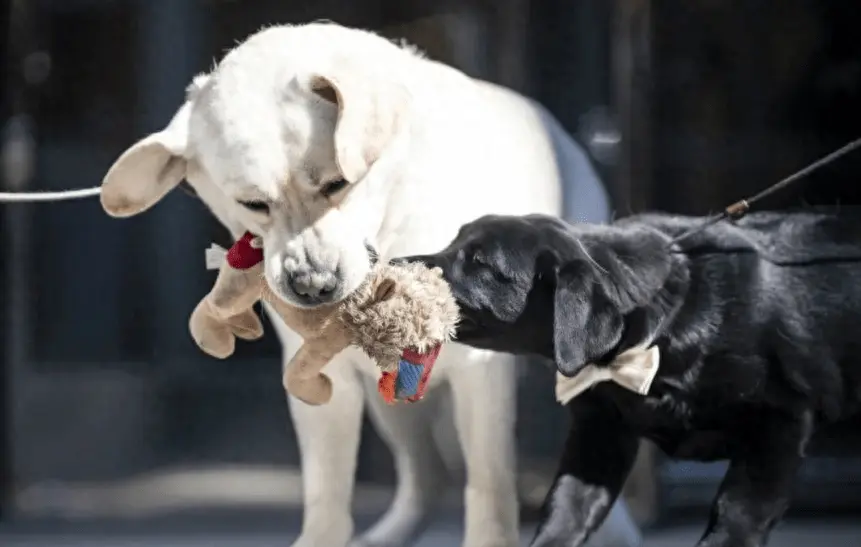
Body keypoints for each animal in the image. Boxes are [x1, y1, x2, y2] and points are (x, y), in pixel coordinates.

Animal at [99, 21, 640, 547]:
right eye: (253, 204)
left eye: (337, 184)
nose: (312, 285)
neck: (391, 224)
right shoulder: (326, 381)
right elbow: (327, 495)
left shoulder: (480, 374)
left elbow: (489, 490)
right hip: (393, 408)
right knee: (427, 478)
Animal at [404, 211, 861, 547]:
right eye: (453, 244)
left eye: (480, 261)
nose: (394, 262)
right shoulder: (600, 435)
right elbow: (565, 509)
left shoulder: (783, 421)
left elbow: (736, 512)